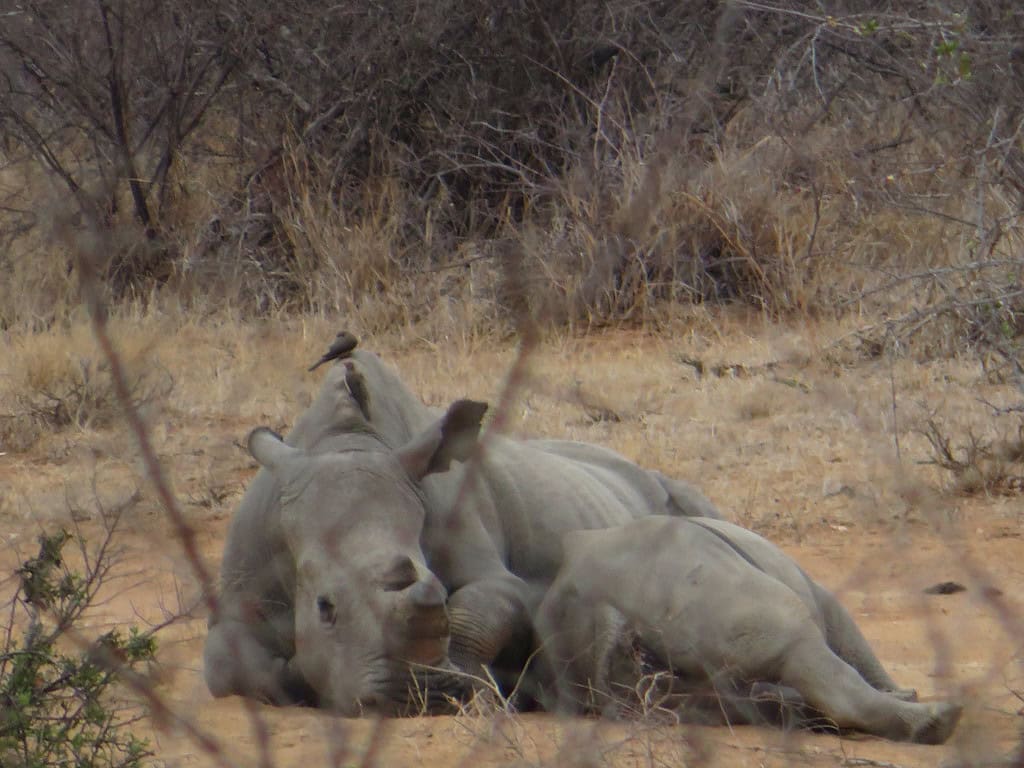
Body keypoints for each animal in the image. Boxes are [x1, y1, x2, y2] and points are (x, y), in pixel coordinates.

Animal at [203, 342, 720, 716]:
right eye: (324, 608)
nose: (419, 697)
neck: (347, 442)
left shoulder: (500, 575)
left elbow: (483, 607)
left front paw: (477, 688)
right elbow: (231, 664)